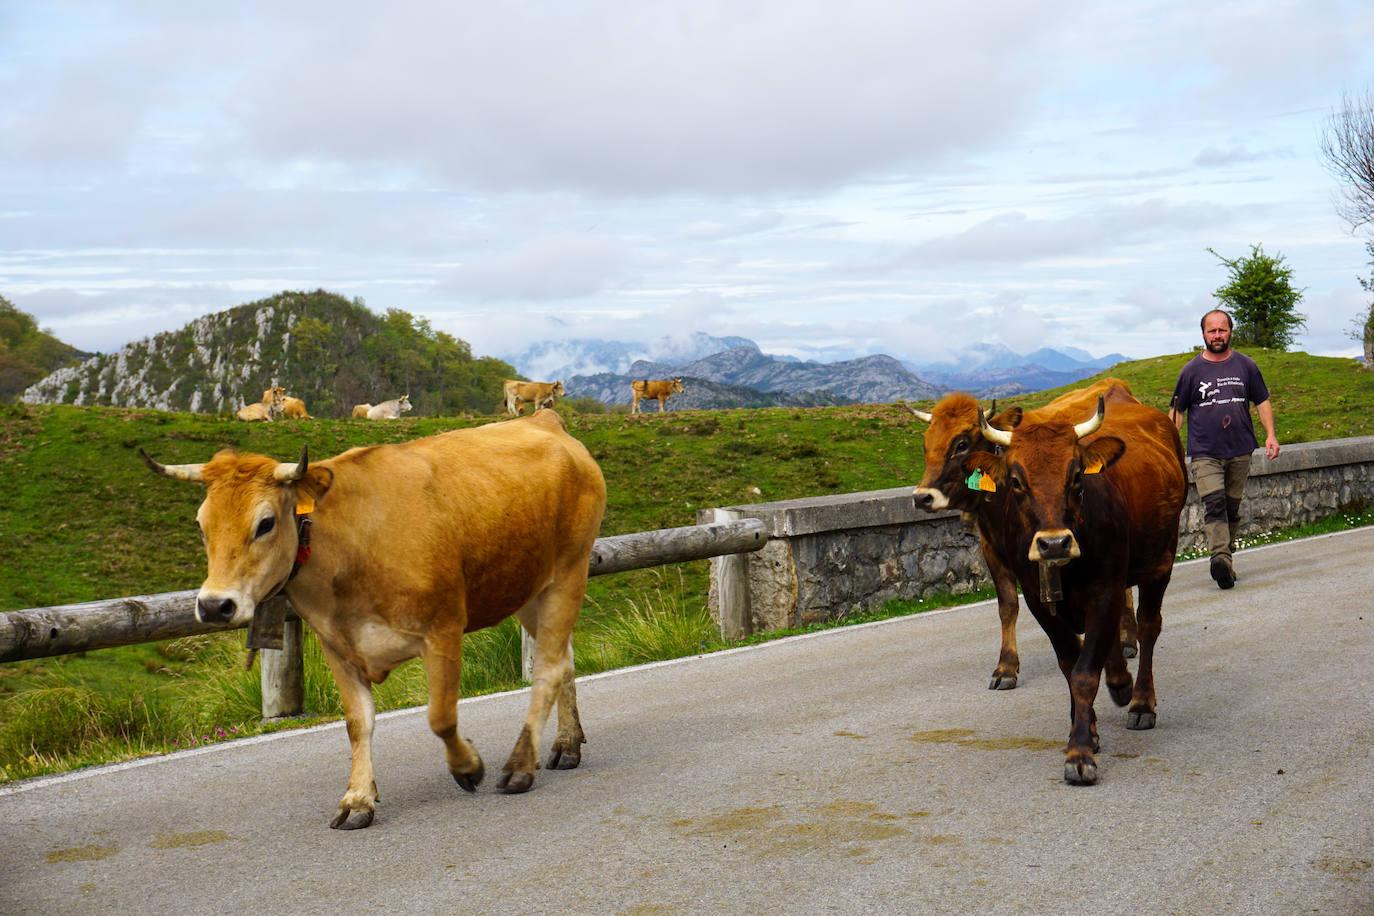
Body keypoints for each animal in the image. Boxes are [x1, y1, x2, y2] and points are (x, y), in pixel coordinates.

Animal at [140, 411, 607, 834]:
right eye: (201, 525)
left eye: (265, 523)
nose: (214, 606)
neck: (353, 546)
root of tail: (544, 418)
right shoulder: (336, 644)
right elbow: (357, 723)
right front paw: (358, 798)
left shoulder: (442, 629)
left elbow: (441, 716)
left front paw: (469, 767)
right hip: (527, 589)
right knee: (563, 660)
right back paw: (567, 743)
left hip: (567, 574)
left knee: (547, 669)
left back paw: (521, 765)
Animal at [906, 379, 1143, 686]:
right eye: (925, 445)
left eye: (961, 444)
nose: (922, 497)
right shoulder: (991, 549)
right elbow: (1007, 605)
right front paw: (1006, 667)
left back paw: (1127, 640)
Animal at [961, 390, 1187, 785]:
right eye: (1016, 481)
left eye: (1077, 475)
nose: (1054, 543)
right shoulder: (1038, 600)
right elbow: (1070, 663)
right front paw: (1088, 732)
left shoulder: (1106, 589)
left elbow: (1084, 673)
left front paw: (1079, 752)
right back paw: (1120, 682)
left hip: (1161, 560)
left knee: (1148, 626)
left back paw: (1140, 700)